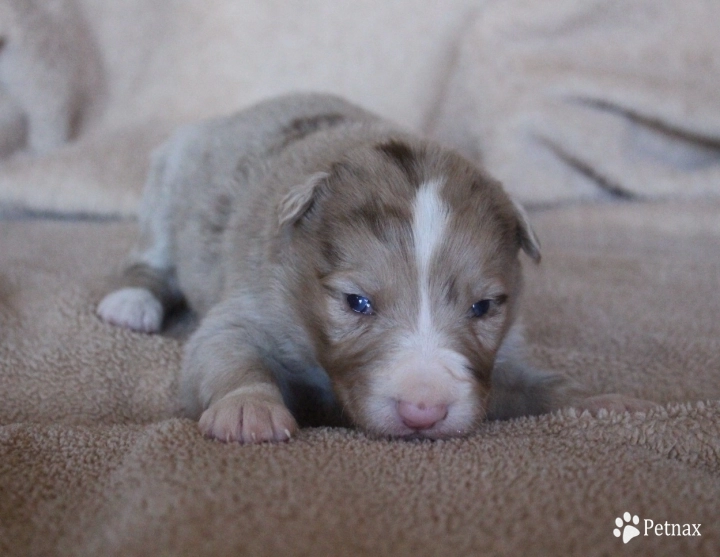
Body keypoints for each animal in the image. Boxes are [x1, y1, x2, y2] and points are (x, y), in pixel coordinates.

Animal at [98, 92, 656, 444]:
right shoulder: (258, 303)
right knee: (150, 257)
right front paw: (247, 409)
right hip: (169, 177)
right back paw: (131, 301)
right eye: (356, 302)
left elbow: (536, 382)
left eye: (482, 307)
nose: (423, 410)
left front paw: (603, 400)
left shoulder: (503, 355)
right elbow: (224, 351)